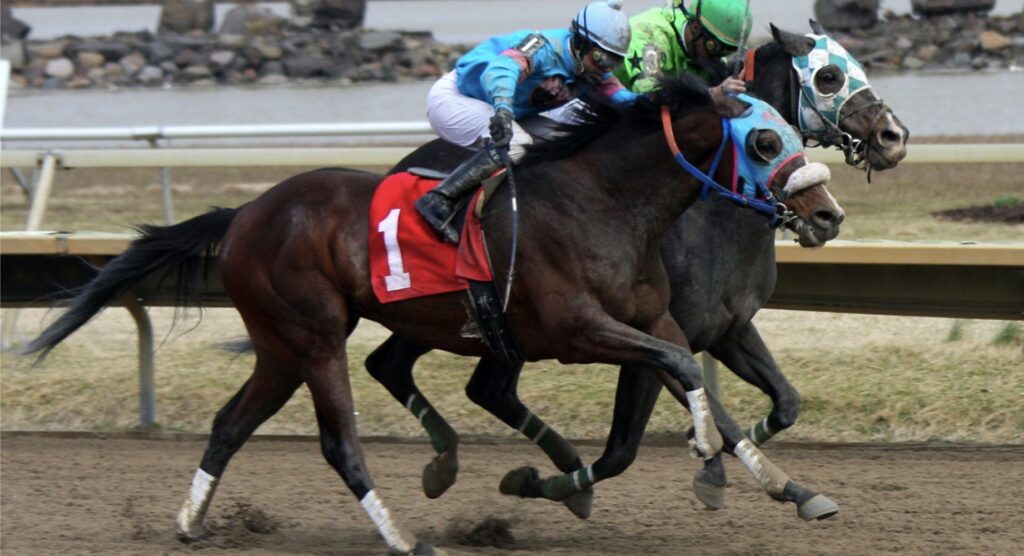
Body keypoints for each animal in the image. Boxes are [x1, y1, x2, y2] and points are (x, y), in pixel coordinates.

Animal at [24, 79, 839, 556]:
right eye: (765, 139)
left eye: (792, 129)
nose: (828, 213)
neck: (605, 202)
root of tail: (246, 212)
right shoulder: (577, 331)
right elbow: (670, 378)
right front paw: (703, 451)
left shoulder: (658, 319)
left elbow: (688, 373)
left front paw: (771, 478)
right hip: (313, 337)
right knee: (339, 442)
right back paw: (407, 538)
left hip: (282, 346)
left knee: (230, 424)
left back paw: (191, 524)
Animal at [362, 20, 913, 518]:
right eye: (828, 77)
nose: (895, 136)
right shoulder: (650, 340)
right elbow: (628, 446)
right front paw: (709, 467)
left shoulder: (727, 328)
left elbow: (785, 402)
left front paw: (765, 475)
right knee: (425, 373)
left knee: (446, 378)